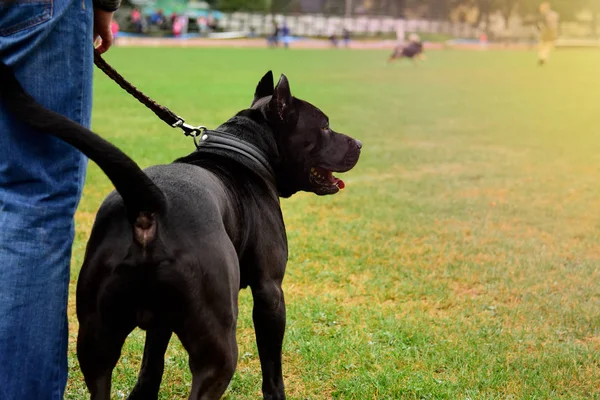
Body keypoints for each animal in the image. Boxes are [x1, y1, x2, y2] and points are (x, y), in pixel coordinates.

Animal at [0, 64, 360, 398]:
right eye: (325, 126)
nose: (357, 142)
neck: (245, 148)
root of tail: (150, 204)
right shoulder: (270, 292)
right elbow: (272, 367)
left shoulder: (160, 319)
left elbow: (151, 364)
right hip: (217, 348)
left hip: (95, 341)